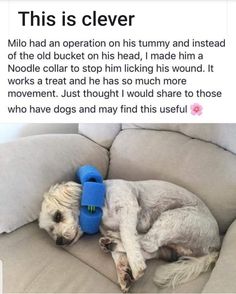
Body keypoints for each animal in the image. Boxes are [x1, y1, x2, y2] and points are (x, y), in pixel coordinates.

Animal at [39, 179, 221, 292]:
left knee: (147, 242)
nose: (59, 242)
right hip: (170, 241)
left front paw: (135, 265)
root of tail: (215, 245)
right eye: (50, 231)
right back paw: (110, 243)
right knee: (151, 249)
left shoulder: (128, 209)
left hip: (173, 218)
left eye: (57, 216)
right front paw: (123, 272)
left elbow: (128, 237)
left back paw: (114, 241)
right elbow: (119, 255)